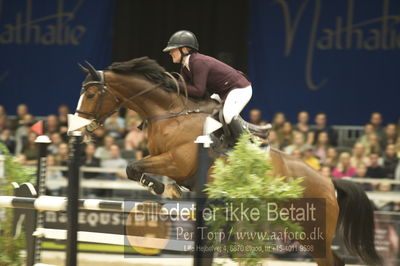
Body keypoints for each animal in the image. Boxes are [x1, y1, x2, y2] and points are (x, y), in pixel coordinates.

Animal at [74, 58, 382, 266]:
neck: (170, 113)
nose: (78, 128)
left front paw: (158, 187)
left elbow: (134, 167)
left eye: (90, 93)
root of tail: (330, 182)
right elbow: (135, 167)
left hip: (313, 231)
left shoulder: (176, 162)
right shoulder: (162, 159)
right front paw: (166, 188)